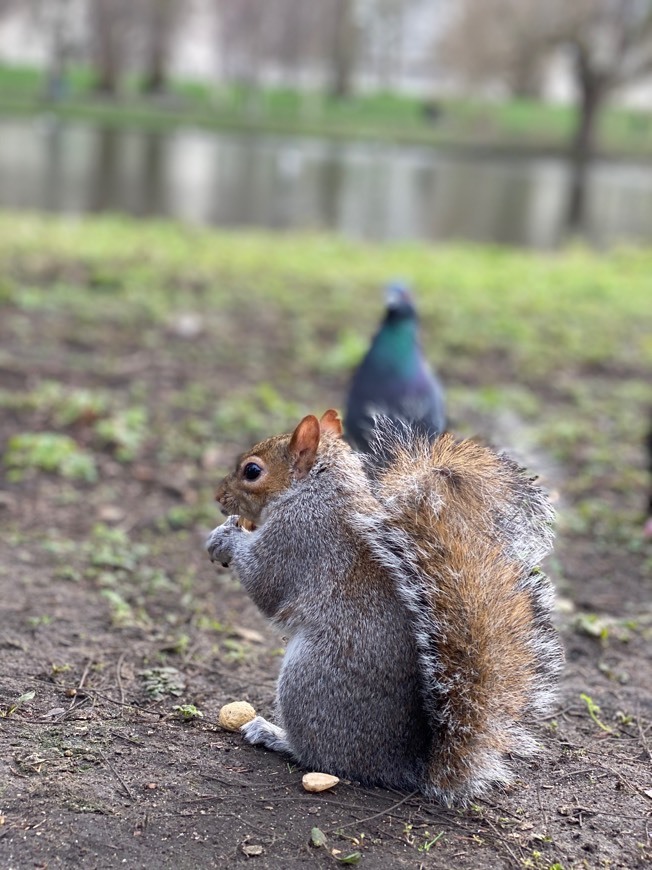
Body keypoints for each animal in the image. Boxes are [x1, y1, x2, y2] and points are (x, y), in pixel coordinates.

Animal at [206, 412, 564, 808]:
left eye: (252, 471)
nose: (218, 497)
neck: (315, 489)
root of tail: (405, 767)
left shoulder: (298, 538)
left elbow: (265, 582)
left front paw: (226, 538)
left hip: (309, 681)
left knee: (321, 757)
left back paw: (275, 735)